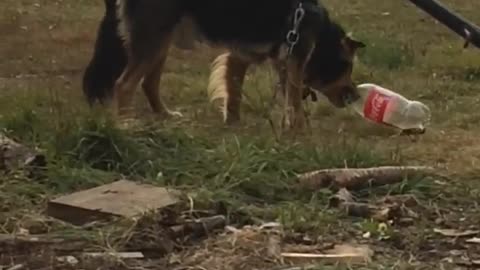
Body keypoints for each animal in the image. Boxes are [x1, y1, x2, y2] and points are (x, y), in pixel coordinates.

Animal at [84, 0, 366, 129]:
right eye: (347, 67)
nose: (355, 96)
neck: (321, 37)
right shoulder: (295, 57)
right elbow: (294, 99)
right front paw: (299, 129)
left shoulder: (244, 55)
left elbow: (234, 90)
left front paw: (232, 122)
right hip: (155, 37)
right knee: (124, 84)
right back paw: (125, 123)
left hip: (161, 39)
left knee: (148, 82)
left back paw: (164, 114)